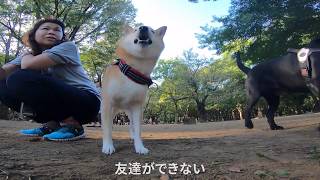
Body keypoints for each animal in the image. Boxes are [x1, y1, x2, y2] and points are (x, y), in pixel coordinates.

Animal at [102, 25, 168, 155]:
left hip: (130, 111)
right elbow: (107, 128)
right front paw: (108, 146)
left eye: (152, 31)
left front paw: (140, 147)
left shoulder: (137, 106)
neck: (132, 71)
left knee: (131, 124)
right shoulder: (108, 103)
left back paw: (132, 136)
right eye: (136, 29)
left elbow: (138, 130)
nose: (143, 27)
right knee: (110, 123)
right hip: (113, 110)